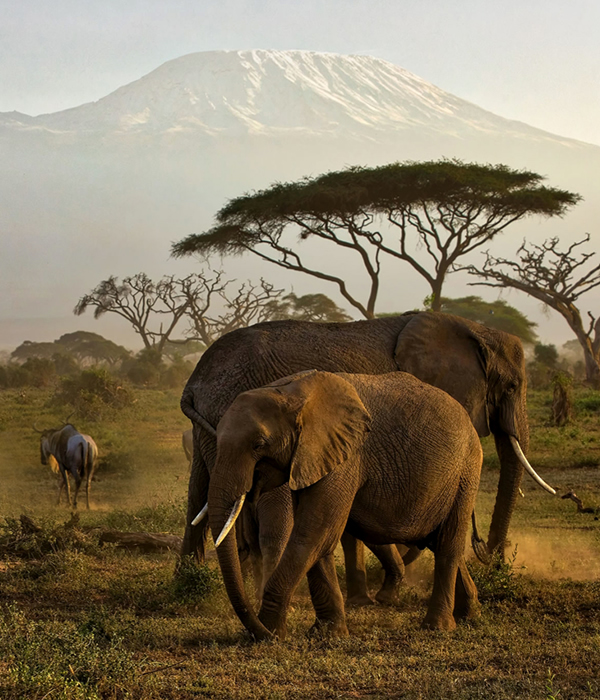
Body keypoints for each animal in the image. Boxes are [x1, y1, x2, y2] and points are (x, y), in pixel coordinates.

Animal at [183, 310, 552, 600]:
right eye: (512, 387)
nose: (488, 553)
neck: (475, 331)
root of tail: (192, 382)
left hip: (210, 431)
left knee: (199, 497)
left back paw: (188, 585)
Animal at [206, 372, 482, 640]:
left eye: (259, 444)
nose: (257, 634)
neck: (290, 391)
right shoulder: (311, 459)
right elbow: (320, 539)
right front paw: (327, 634)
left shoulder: (344, 459)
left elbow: (314, 534)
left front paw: (271, 632)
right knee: (438, 541)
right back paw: (469, 616)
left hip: (466, 472)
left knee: (447, 544)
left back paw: (437, 627)